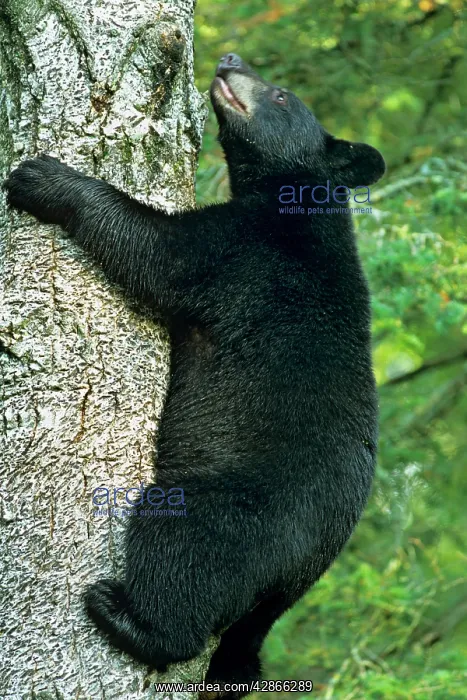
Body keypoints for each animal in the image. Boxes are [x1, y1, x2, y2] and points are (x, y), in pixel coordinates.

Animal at [4, 53, 385, 698]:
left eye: (281, 96)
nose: (230, 59)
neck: (298, 200)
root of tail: (304, 573)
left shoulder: (248, 254)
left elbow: (159, 253)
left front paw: (43, 178)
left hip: (237, 509)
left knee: (181, 548)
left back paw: (127, 618)